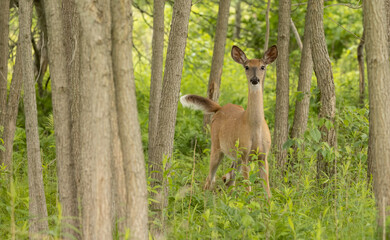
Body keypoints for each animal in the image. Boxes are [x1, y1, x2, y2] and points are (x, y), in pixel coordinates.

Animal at [180, 45, 278, 199]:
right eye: (246, 67)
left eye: (262, 67)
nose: (255, 80)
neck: (255, 127)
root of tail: (220, 108)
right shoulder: (244, 154)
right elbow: (248, 188)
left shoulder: (263, 155)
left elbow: (267, 191)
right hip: (216, 147)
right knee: (210, 179)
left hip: (234, 155)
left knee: (229, 179)